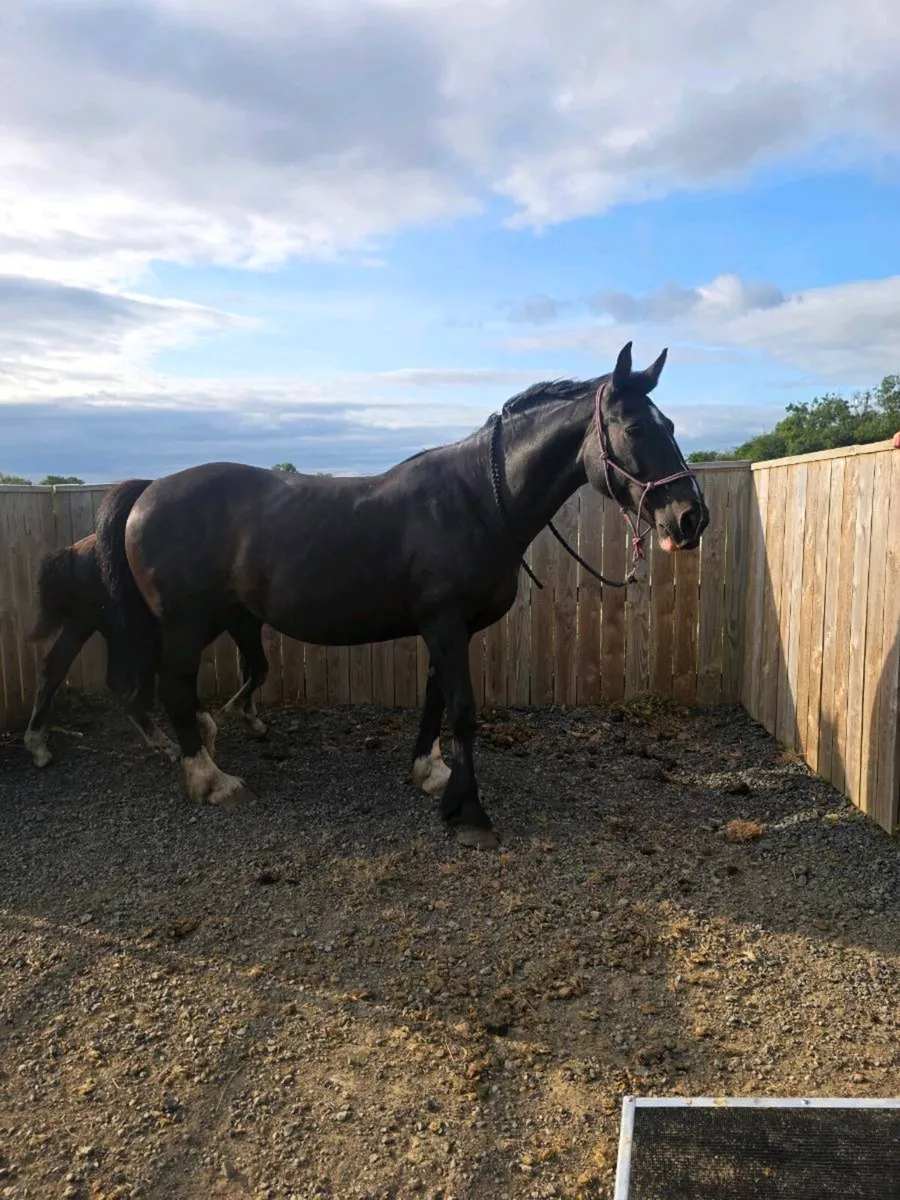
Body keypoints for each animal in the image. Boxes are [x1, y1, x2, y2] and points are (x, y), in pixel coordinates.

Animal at [24, 489, 271, 769]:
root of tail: (74, 552)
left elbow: (252, 668)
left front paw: (251, 719)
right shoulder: (243, 623)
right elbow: (258, 668)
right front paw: (245, 717)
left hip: (83, 626)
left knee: (55, 668)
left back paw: (37, 744)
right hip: (124, 634)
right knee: (118, 682)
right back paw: (170, 744)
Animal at [95, 343, 708, 848]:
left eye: (671, 423)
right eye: (635, 427)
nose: (690, 518)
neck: (477, 501)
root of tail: (149, 489)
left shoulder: (448, 629)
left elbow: (435, 699)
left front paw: (431, 775)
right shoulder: (445, 624)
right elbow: (462, 709)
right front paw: (471, 814)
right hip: (185, 623)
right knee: (174, 688)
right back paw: (212, 781)